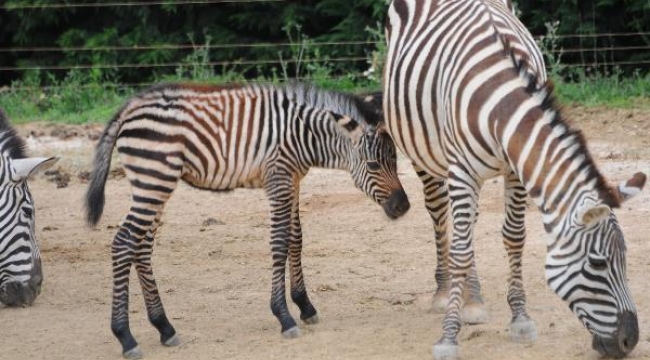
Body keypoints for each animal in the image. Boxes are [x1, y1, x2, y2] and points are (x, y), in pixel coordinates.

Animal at [83, 82, 408, 360]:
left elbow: (296, 238)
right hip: (154, 178)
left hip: (154, 184)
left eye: (395, 161)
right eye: (373, 165)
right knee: (124, 243)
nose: (403, 206)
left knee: (141, 246)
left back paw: (164, 326)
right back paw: (126, 337)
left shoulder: (293, 180)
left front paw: (304, 305)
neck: (302, 135)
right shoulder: (278, 178)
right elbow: (279, 242)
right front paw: (284, 315)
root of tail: (129, 106)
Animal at [384, 0, 644, 360]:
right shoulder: (461, 172)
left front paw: (520, 318)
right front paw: (449, 336)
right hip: (425, 155)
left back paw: (473, 300)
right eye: (598, 263)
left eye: (625, 260)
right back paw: (443, 291)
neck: (500, 102)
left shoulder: (515, 171)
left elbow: (514, 237)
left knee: (468, 223)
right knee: (439, 214)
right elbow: (460, 250)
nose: (630, 341)